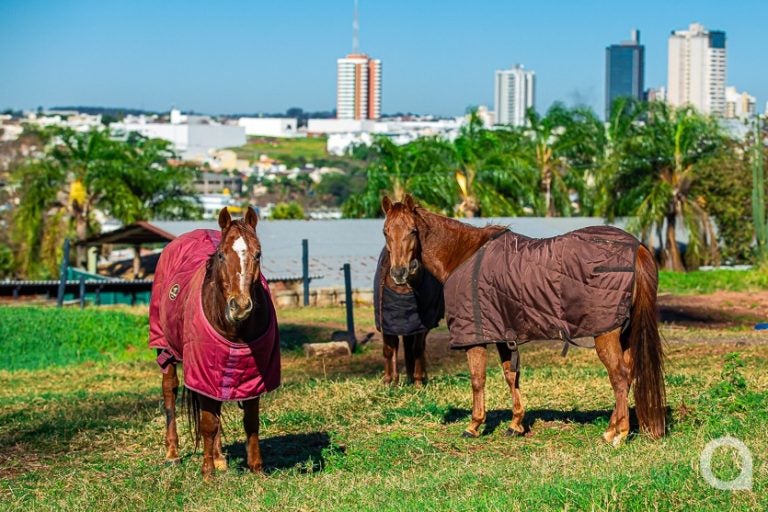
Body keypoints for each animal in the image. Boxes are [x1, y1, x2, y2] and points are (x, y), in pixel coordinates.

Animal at [149, 207, 281, 478]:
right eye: (221, 255)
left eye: (258, 254)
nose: (239, 306)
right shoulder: (201, 368)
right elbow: (208, 423)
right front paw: (207, 472)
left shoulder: (252, 375)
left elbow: (250, 421)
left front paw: (256, 468)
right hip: (164, 347)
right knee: (170, 391)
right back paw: (173, 453)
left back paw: (219, 457)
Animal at [373, 248, 444, 386]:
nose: (399, 274)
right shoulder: (387, 324)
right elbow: (389, 349)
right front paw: (388, 381)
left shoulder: (418, 325)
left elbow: (416, 348)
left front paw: (417, 380)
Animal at [381, 194, 666, 444]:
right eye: (386, 231)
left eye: (413, 231)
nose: (398, 273)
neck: (464, 255)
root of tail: (637, 247)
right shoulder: (501, 333)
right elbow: (511, 376)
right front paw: (516, 424)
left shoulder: (475, 337)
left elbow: (477, 380)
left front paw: (474, 425)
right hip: (625, 333)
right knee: (628, 375)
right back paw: (614, 428)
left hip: (605, 334)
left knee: (619, 377)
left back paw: (617, 434)